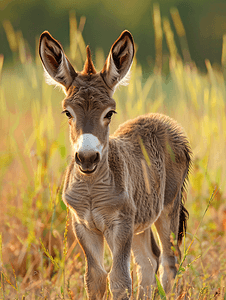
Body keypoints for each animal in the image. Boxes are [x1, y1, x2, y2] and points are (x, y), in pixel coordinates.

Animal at [39, 29, 192, 298]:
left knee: (169, 261)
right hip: (141, 219)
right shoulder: (83, 225)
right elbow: (95, 278)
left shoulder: (120, 226)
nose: (87, 158)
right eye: (68, 113)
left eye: (109, 113)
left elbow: (119, 280)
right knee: (148, 262)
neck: (92, 188)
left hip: (168, 209)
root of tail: (160, 119)